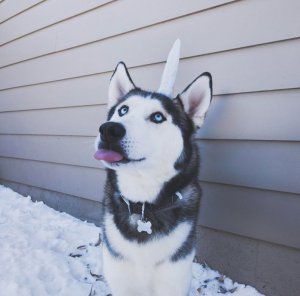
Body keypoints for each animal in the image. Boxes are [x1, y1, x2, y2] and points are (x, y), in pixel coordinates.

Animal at [95, 40, 212, 296]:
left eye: (158, 117)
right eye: (123, 110)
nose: (109, 129)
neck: (143, 205)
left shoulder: (173, 281)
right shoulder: (122, 281)